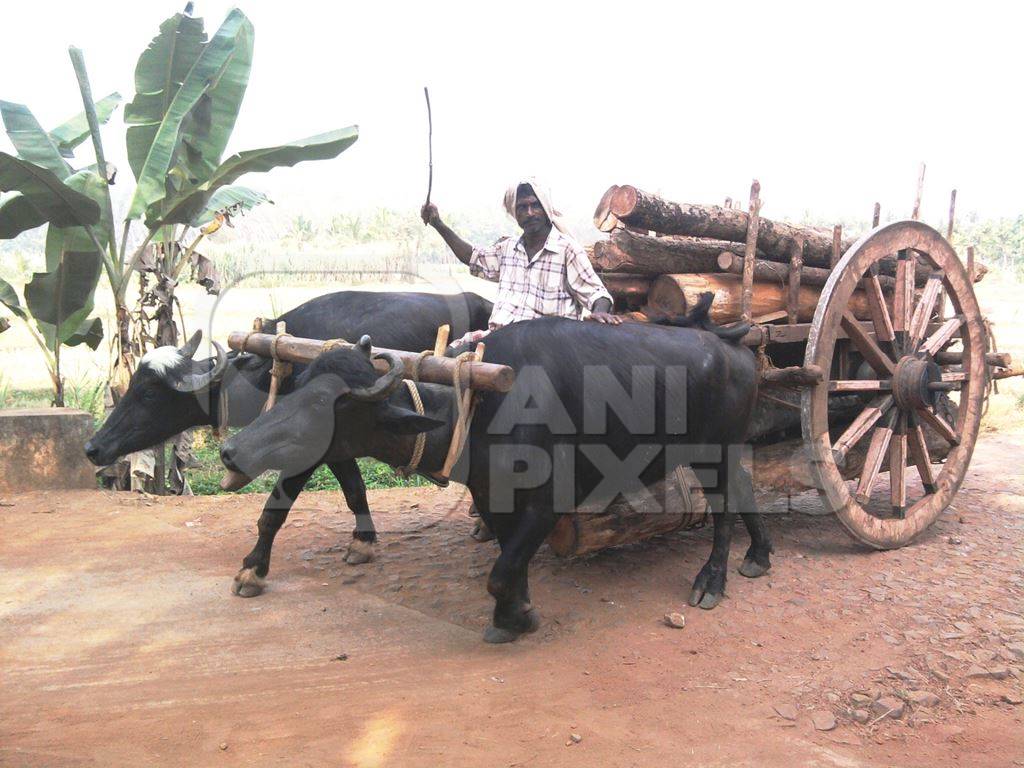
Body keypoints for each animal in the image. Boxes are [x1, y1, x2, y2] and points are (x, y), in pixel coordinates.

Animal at [83, 290, 491, 569]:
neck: (273, 369)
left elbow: (295, 502)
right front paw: (363, 540)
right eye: (134, 384)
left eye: (150, 393)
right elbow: (354, 490)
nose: (93, 447)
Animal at [220, 301, 770, 643]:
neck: (486, 406)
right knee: (746, 494)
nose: (229, 451)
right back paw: (759, 555)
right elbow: (509, 560)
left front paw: (516, 618)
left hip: (717, 450)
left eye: (327, 404)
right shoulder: (491, 495)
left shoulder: (551, 499)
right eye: (298, 386)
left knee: (725, 510)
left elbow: (501, 570)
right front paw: (517, 610)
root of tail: (737, 345)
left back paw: (713, 580)